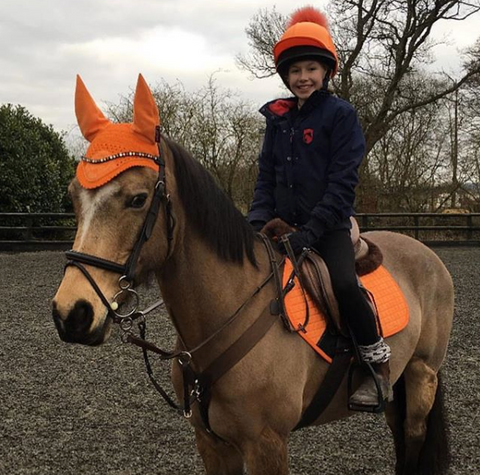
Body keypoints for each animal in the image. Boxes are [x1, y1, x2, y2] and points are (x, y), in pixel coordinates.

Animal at [51, 75, 454, 475]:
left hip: (421, 375)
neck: (227, 315)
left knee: (413, 438)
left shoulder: (267, 445)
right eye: (72, 196)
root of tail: (425, 252)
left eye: (137, 199)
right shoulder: (212, 444)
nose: (72, 313)